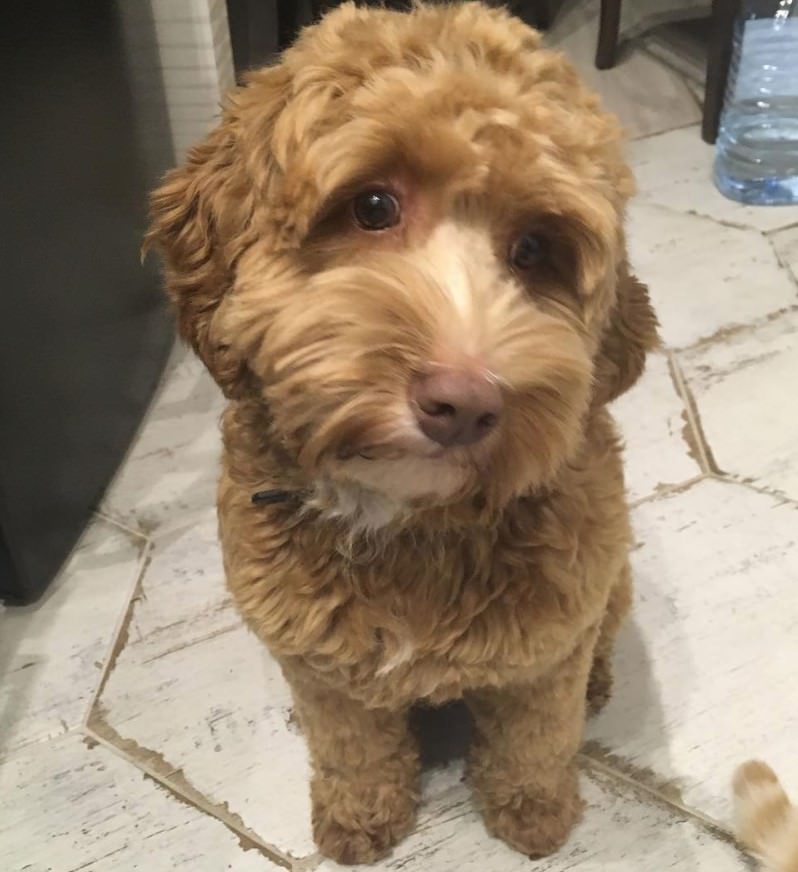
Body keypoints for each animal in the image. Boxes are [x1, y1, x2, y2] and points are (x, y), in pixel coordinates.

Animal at [144, 1, 656, 864]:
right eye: (373, 206)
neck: (408, 520)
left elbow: (534, 739)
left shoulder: (544, 650)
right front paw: (359, 818)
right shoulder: (321, 663)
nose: (465, 403)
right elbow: (353, 746)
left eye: (534, 249)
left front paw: (534, 813)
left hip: (607, 585)